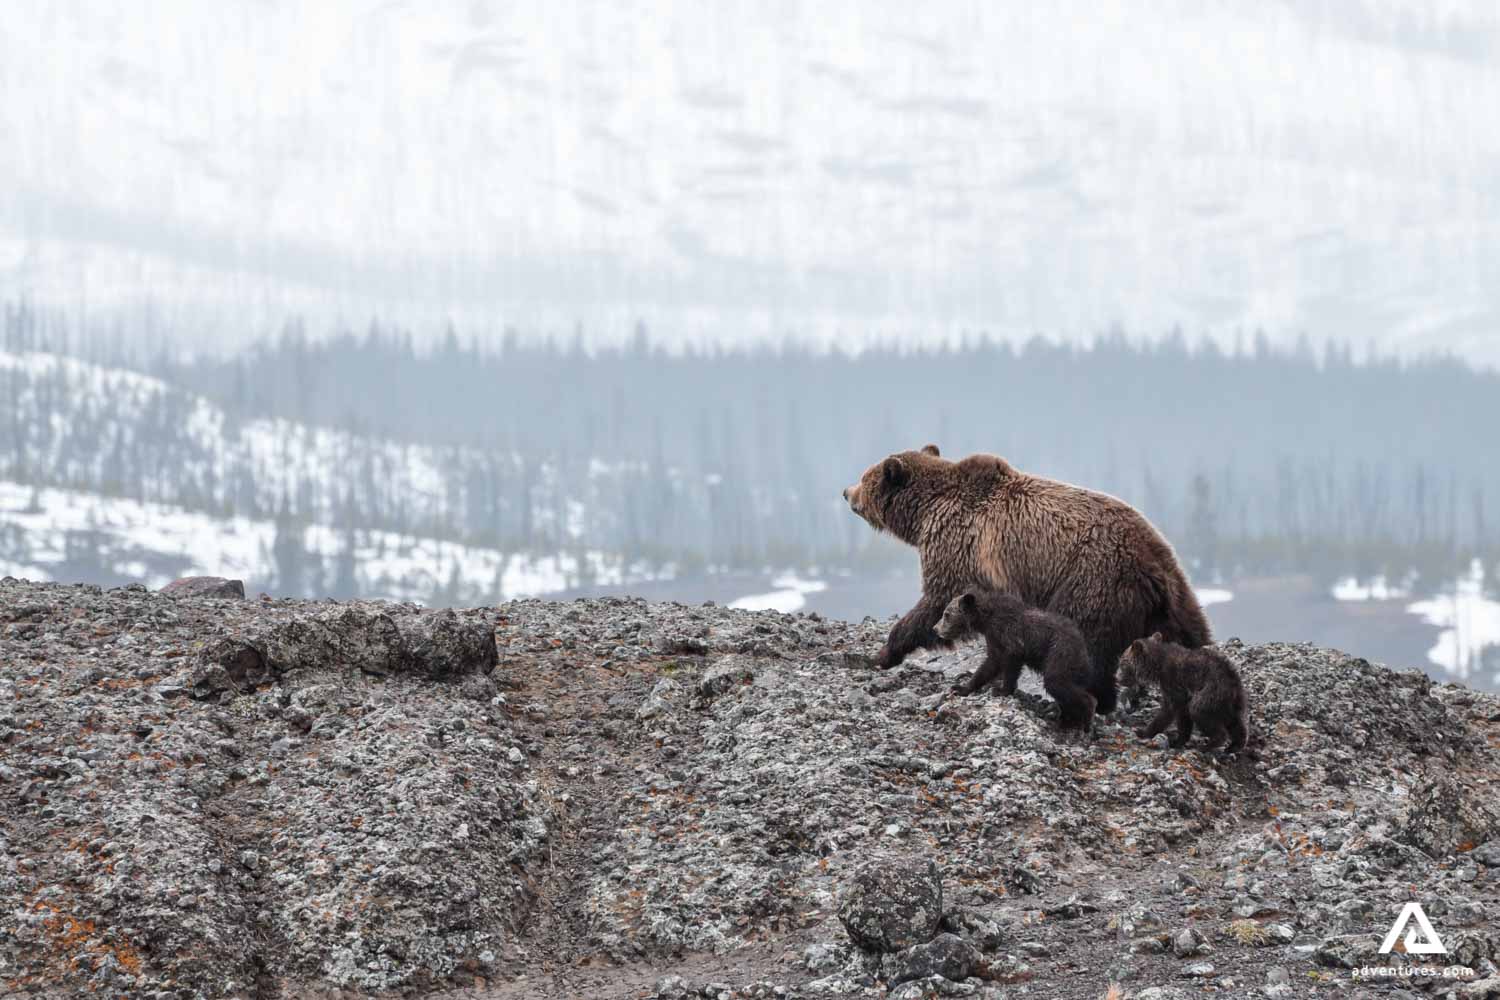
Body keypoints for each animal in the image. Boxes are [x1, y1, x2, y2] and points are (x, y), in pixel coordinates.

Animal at [843, 444, 1211, 715]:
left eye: (865, 476)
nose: (846, 491)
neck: (924, 514)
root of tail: (1152, 564)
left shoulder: (958, 546)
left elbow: (936, 601)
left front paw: (884, 653)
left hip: (1092, 582)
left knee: (1088, 644)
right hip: (1173, 595)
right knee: (1193, 634)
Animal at [934, 589, 1098, 731]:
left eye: (946, 614)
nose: (935, 628)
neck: (986, 618)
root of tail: (1084, 649)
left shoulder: (1009, 634)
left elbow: (1010, 661)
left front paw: (1001, 690)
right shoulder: (993, 639)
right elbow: (990, 665)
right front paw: (961, 688)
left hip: (1060, 652)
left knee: (1056, 682)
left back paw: (1086, 717)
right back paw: (1068, 720)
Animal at [1116, 633, 1248, 751]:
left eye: (1122, 662)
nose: (1117, 678)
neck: (1157, 666)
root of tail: (1234, 684)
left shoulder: (1173, 682)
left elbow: (1170, 710)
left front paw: (1143, 732)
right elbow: (1183, 715)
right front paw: (1179, 741)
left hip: (1210, 692)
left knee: (1199, 711)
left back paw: (1208, 745)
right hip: (1231, 703)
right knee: (1235, 723)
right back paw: (1234, 746)